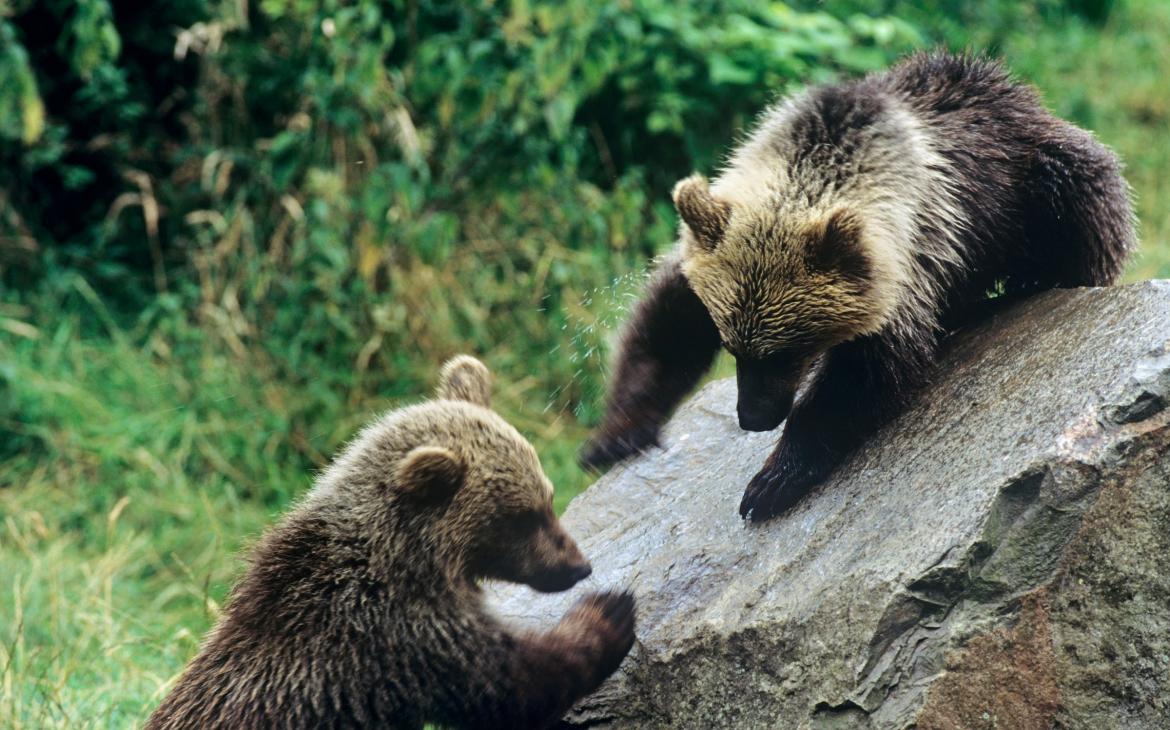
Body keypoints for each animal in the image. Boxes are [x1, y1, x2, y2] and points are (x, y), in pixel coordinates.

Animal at [152, 357, 641, 730]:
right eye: (523, 517)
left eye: (549, 497)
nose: (578, 565)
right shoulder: (403, 633)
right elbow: (513, 683)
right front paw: (609, 613)